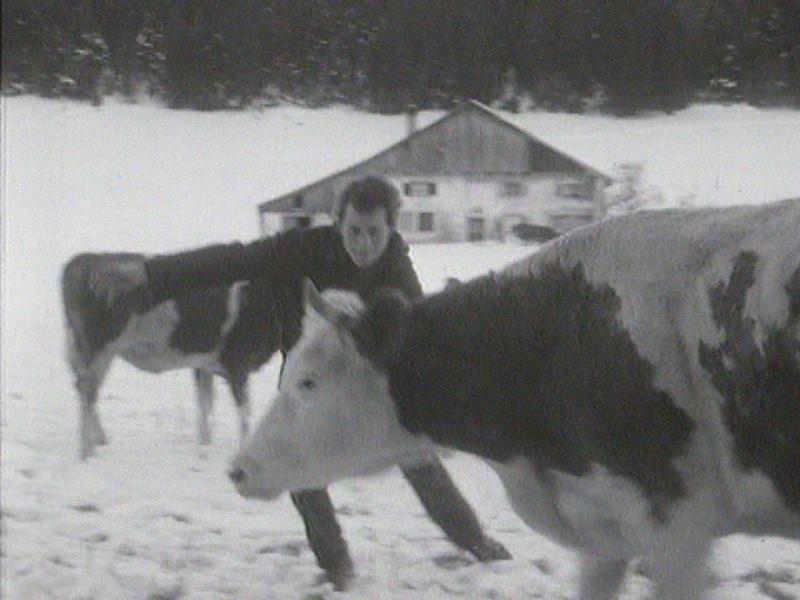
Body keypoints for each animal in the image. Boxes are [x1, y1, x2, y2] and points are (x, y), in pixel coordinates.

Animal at [61, 252, 282, 460]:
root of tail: (79, 262)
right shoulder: (237, 364)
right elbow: (244, 412)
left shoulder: (203, 364)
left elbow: (205, 404)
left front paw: (204, 445)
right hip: (97, 349)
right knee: (87, 391)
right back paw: (87, 453)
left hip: (97, 352)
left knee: (87, 390)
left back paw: (99, 441)